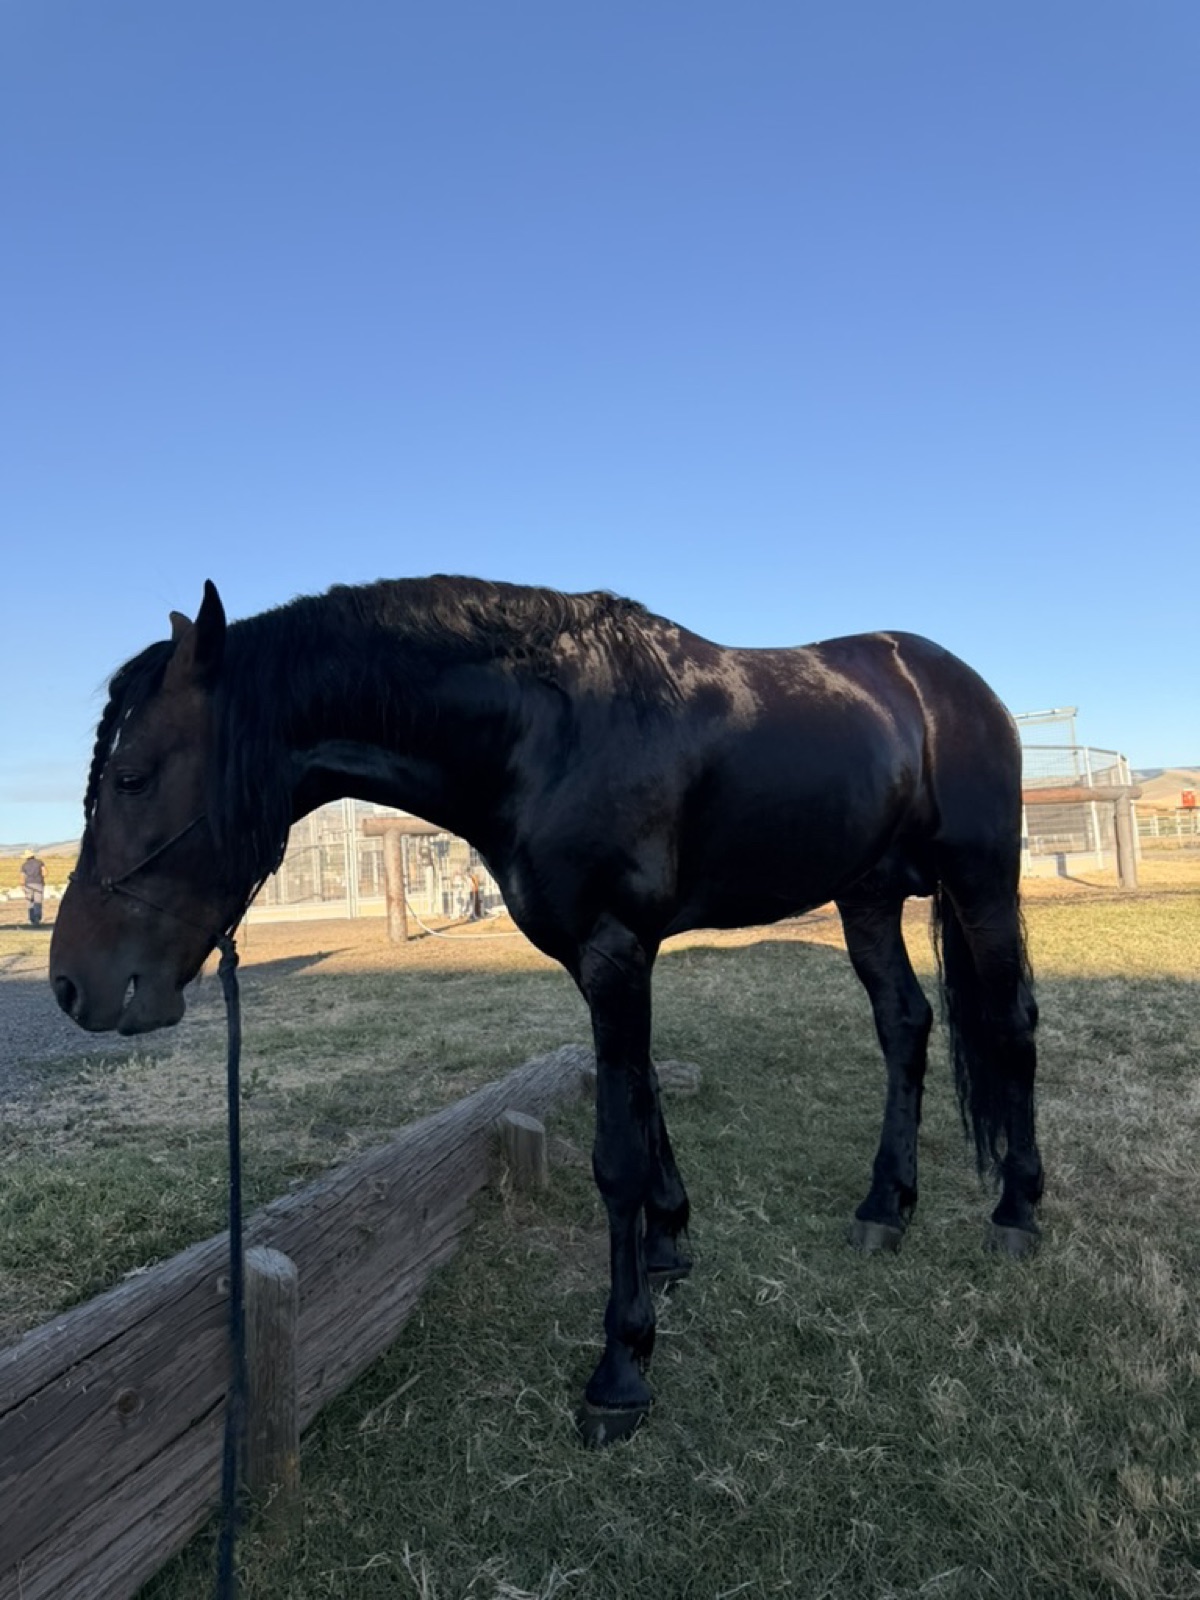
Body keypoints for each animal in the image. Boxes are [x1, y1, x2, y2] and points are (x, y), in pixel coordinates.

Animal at [49, 575, 1043, 1442]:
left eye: (132, 776)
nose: (70, 986)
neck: (548, 730)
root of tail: (945, 680)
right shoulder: (603, 961)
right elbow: (644, 1103)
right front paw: (670, 1246)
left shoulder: (616, 952)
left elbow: (617, 1155)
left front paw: (622, 1366)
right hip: (866, 895)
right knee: (905, 1026)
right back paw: (886, 1207)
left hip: (981, 882)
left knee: (1013, 1027)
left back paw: (1018, 1213)